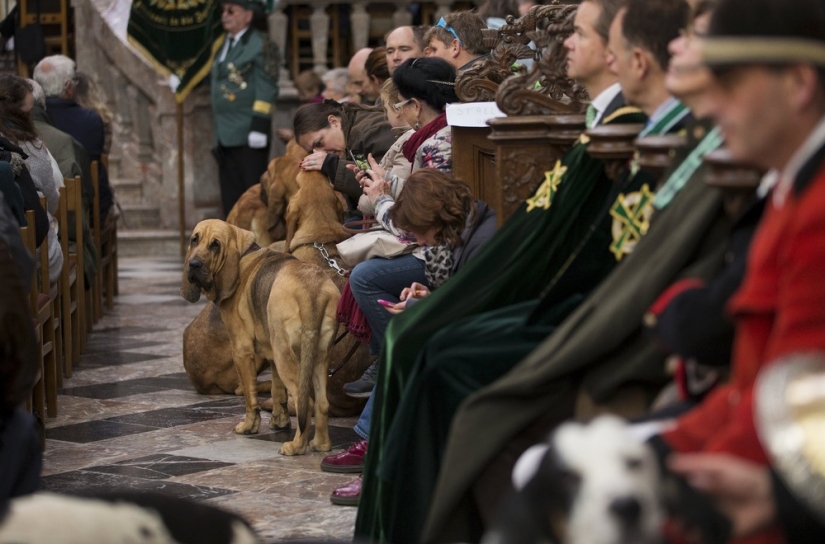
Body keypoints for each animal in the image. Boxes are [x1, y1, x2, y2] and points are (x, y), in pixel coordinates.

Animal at [180, 221, 338, 454]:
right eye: (194, 239)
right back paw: (321, 444)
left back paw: (295, 447)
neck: (243, 252)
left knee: (305, 403)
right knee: (321, 403)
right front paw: (279, 422)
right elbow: (278, 393)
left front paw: (249, 427)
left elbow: (249, 395)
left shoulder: (242, 352)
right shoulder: (271, 356)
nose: (194, 265)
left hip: (285, 357)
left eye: (215, 245)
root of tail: (310, 290)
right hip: (318, 357)